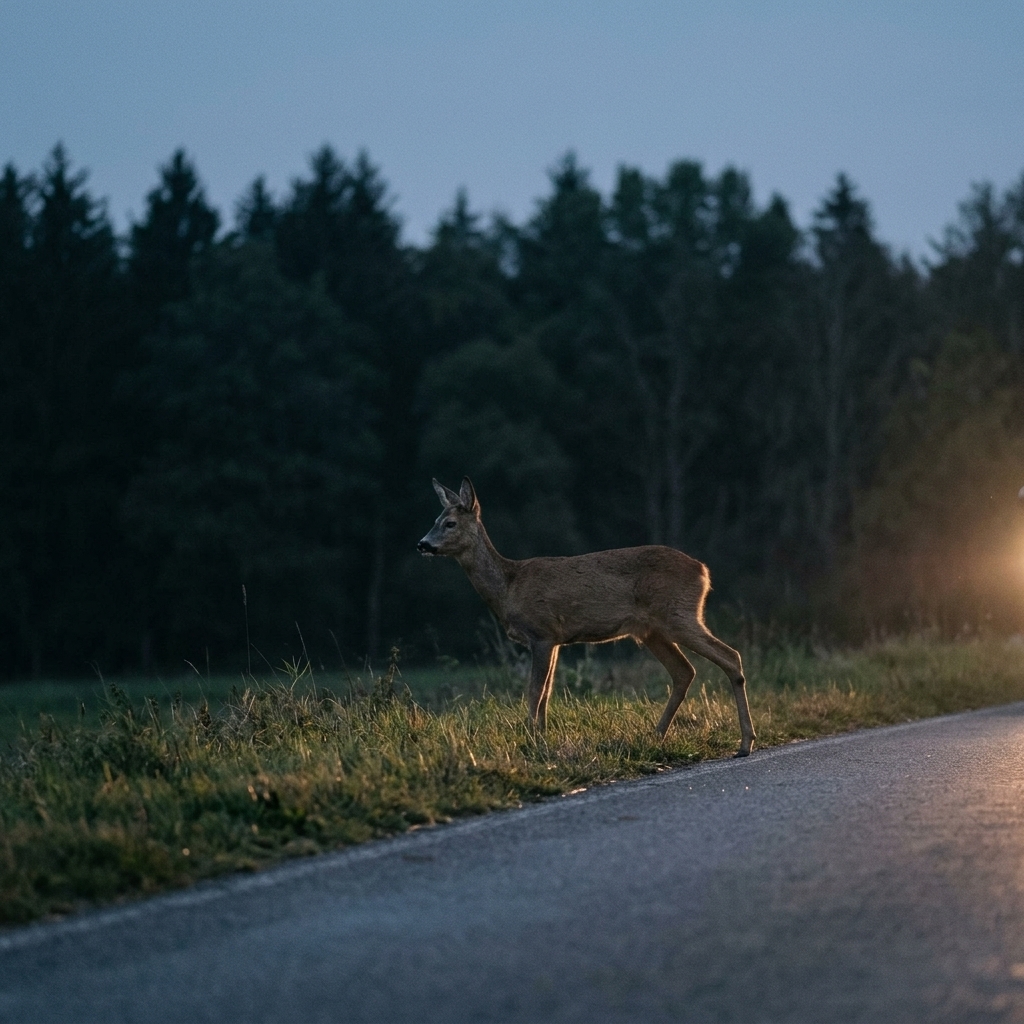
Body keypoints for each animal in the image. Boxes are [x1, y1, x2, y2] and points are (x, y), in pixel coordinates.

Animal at [417, 477, 755, 756]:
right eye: (434, 520)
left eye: (449, 523)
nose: (422, 544)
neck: (509, 587)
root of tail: (703, 571)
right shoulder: (555, 640)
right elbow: (547, 692)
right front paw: (541, 738)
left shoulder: (541, 632)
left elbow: (535, 691)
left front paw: (532, 741)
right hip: (652, 631)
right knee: (684, 671)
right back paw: (656, 735)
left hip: (679, 615)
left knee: (730, 656)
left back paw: (745, 743)